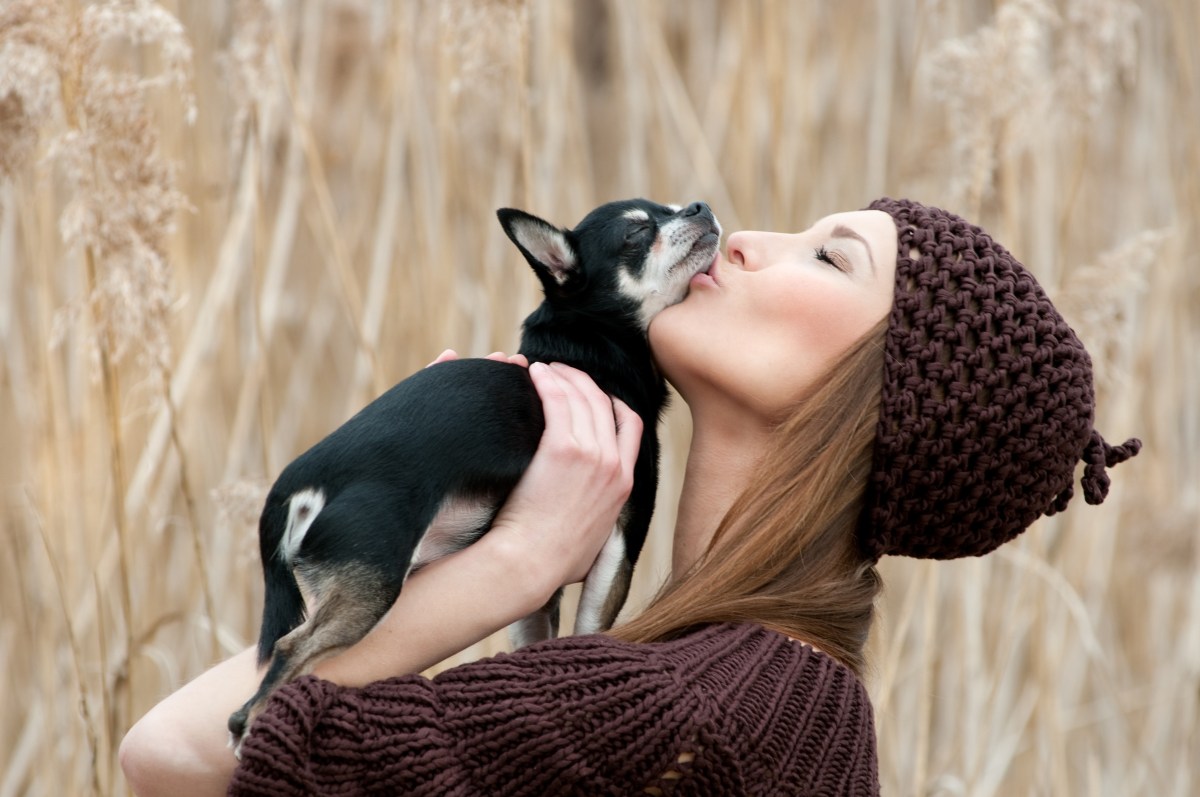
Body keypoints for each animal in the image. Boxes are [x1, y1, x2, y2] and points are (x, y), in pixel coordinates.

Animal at [226, 195, 720, 748]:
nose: (699, 206)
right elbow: (592, 631)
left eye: (672, 207)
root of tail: (300, 482)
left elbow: (534, 641)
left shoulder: (539, 594)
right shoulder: (619, 547)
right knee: (283, 660)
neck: (589, 350)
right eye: (636, 234)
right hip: (369, 588)